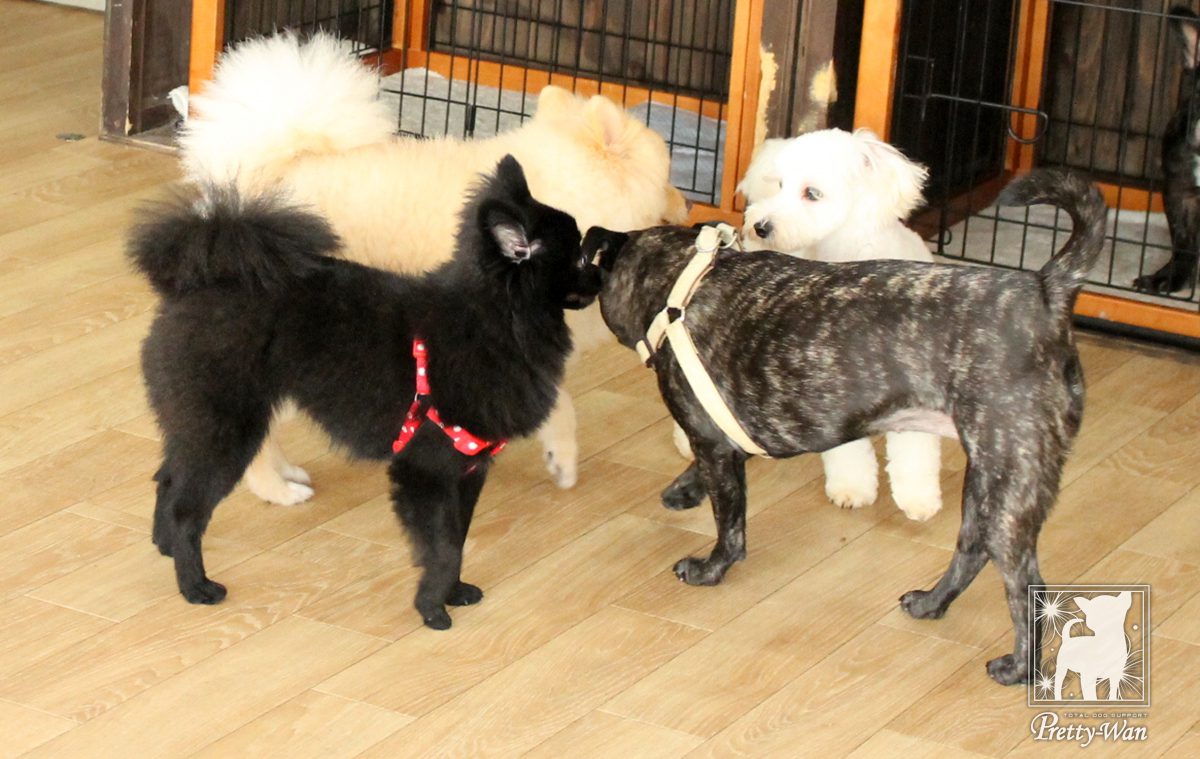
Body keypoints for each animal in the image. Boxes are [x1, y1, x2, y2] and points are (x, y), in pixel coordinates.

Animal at [131, 157, 601, 630]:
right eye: (579, 255)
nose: (602, 271)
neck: (493, 322)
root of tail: (195, 284)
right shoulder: (427, 468)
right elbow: (444, 548)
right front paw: (432, 609)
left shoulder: (468, 469)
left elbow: (458, 536)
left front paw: (454, 593)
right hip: (227, 430)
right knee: (187, 507)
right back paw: (195, 585)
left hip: (196, 423)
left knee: (166, 478)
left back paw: (165, 547)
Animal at [589, 168, 1107, 685]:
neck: (681, 285)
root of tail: (1044, 290)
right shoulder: (719, 443)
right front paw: (685, 490)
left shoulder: (712, 442)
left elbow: (730, 524)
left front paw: (709, 569)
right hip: (988, 480)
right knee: (972, 549)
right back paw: (931, 604)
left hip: (1007, 481)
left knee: (1025, 584)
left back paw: (1021, 668)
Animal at [737, 128, 942, 521]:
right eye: (779, 184)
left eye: (811, 193)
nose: (759, 226)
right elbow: (846, 450)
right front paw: (852, 488)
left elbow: (914, 448)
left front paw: (919, 498)